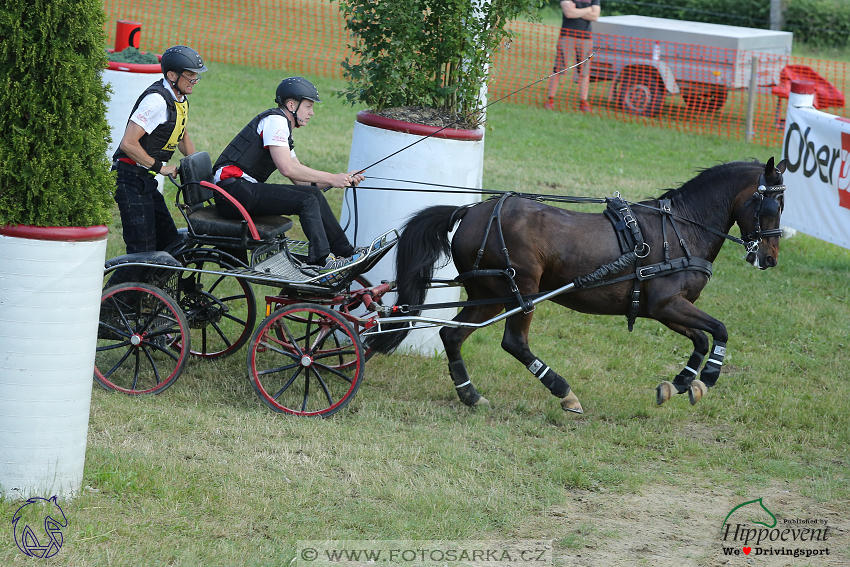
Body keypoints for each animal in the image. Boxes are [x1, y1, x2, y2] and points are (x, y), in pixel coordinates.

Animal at [368, 158, 784, 414]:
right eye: (772, 206)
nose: (770, 257)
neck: (682, 229)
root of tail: (470, 211)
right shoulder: (667, 303)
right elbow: (719, 330)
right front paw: (706, 379)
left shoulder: (663, 309)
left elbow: (700, 339)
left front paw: (680, 384)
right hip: (522, 291)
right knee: (513, 342)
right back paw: (563, 392)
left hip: (490, 293)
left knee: (451, 335)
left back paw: (470, 394)